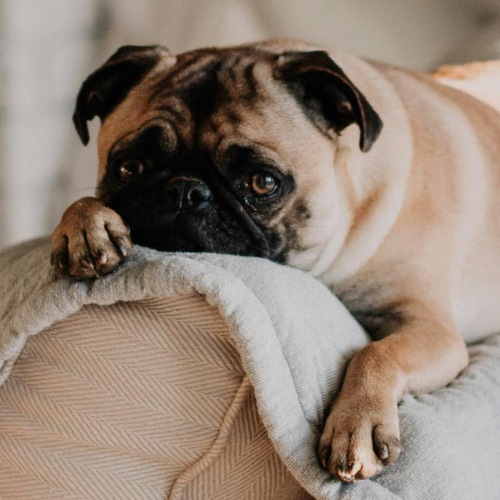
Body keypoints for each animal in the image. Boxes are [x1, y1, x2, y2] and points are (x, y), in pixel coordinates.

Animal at [49, 40, 500, 484]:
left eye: (263, 183)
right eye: (130, 167)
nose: (185, 191)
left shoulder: (432, 328)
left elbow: (376, 354)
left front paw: (357, 425)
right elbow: (85, 202)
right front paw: (84, 225)